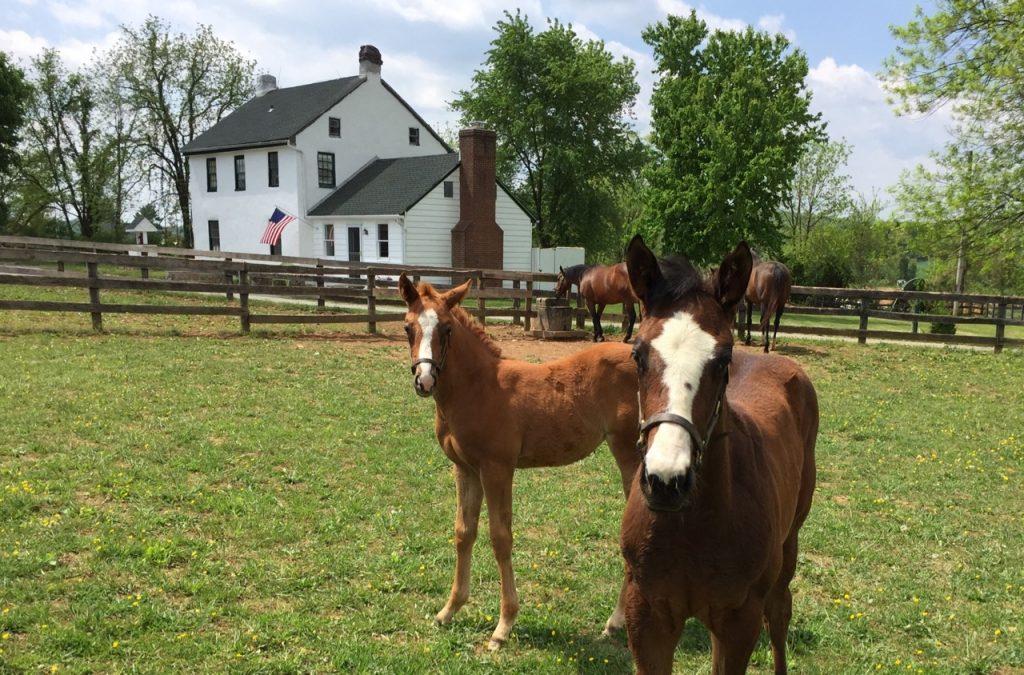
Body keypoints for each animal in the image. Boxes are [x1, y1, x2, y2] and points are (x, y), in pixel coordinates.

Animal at [397, 272, 638, 651]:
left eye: (447, 329)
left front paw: (503, 625)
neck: (478, 388)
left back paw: (615, 621)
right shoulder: (465, 469)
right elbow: (463, 532)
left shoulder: (497, 468)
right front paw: (449, 610)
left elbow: (500, 537)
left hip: (630, 452)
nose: (424, 380)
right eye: (408, 327)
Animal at [614, 237, 815, 675]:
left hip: (789, 544)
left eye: (723, 359)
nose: (666, 481)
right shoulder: (647, 616)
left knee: (781, 611)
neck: (692, 526)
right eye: (637, 355)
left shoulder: (740, 620)